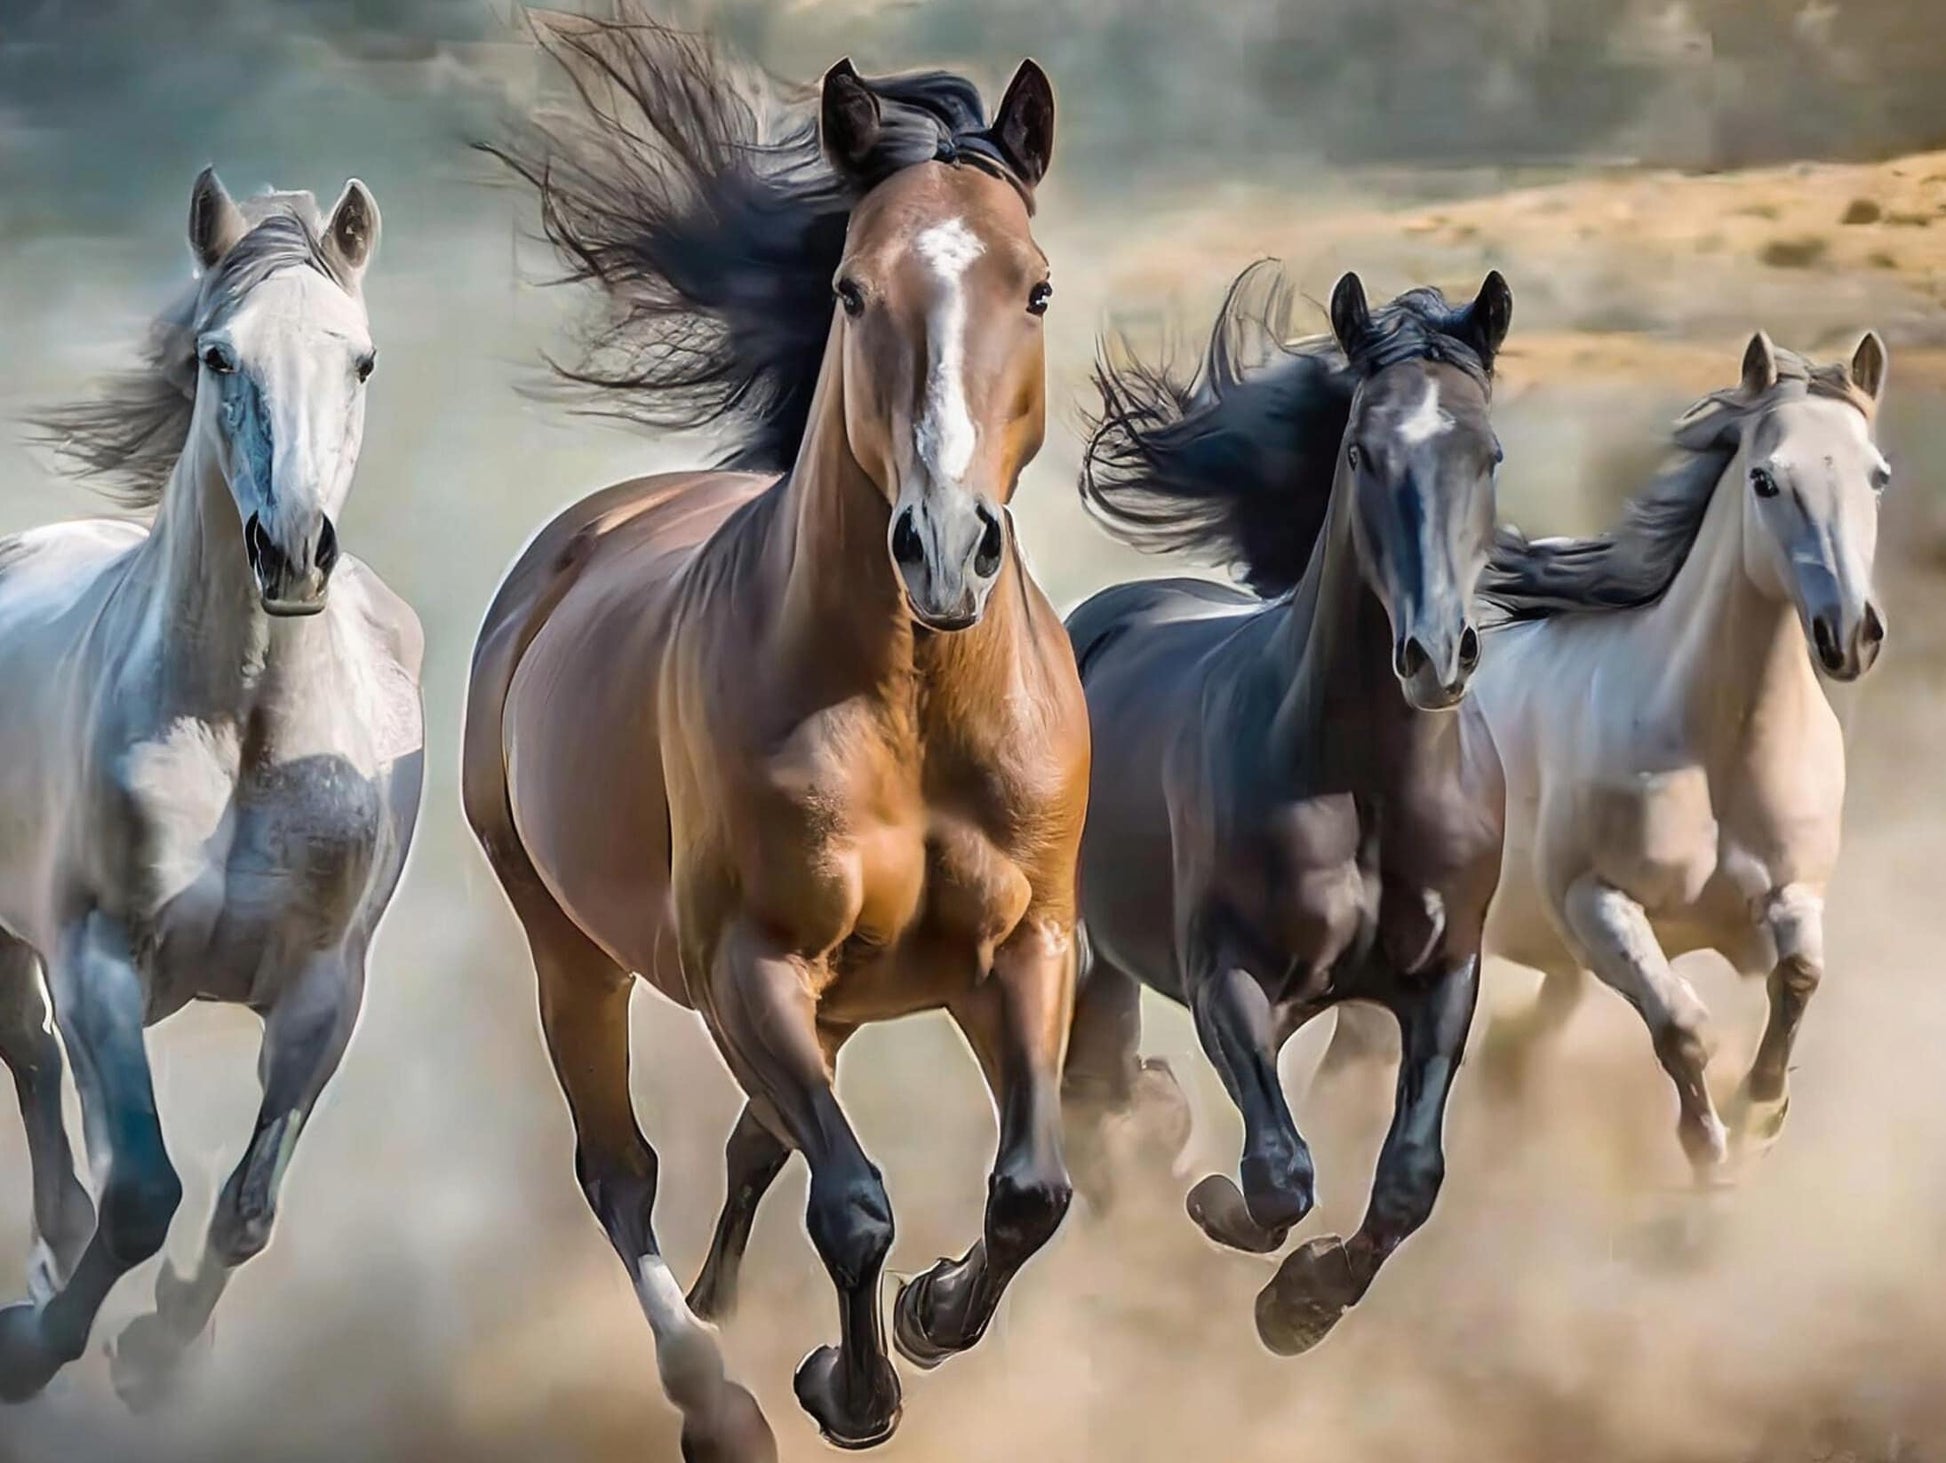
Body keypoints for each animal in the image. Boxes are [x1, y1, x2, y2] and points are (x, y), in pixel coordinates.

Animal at [0, 171, 423, 1407]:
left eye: (361, 360)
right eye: (218, 355)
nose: (291, 550)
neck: (242, 730)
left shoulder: (324, 990)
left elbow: (245, 1208)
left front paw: (157, 1350)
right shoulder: (98, 958)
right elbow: (144, 1190)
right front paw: (34, 1348)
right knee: (33, 1058)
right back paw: (52, 1251)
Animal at [462, 16, 1083, 1458]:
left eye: (1032, 289)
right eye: (853, 290)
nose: (945, 547)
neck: (909, 706)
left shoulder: (1025, 946)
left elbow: (1029, 1186)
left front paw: (929, 1313)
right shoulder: (746, 965)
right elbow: (850, 1202)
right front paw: (849, 1388)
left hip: (833, 1002)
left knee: (750, 1147)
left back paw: (725, 1306)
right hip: (569, 946)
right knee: (619, 1171)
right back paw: (716, 1394)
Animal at [1061, 261, 1512, 1356]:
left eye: (1485, 453)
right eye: (1361, 450)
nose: (1432, 655)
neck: (1364, 782)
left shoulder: (1443, 972)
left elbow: (1408, 1177)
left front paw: (1302, 1301)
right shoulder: (1224, 975)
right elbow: (1276, 1174)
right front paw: (1219, 1213)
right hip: (1093, 946)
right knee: (1088, 1095)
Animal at [1326, 332, 1890, 1185]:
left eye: (1876, 476)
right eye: (1765, 479)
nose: (1850, 633)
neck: (1714, 749)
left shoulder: (1787, 895)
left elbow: (1797, 976)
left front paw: (1759, 1110)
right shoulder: (1596, 905)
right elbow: (1683, 1024)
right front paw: (1709, 1155)